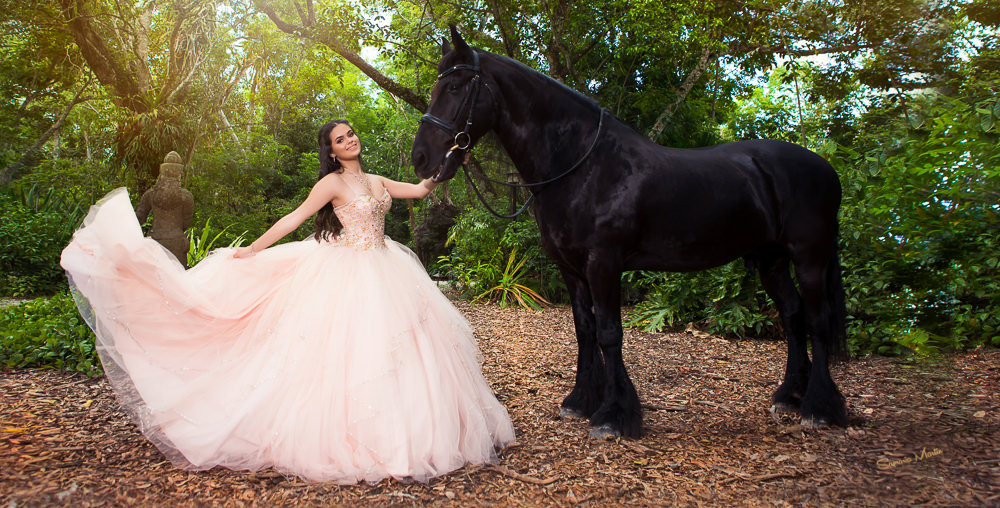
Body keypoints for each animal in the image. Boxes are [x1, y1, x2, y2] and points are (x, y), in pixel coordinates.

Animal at [410, 26, 848, 436]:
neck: (584, 165)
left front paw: (615, 415)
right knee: (792, 314)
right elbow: (584, 329)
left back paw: (820, 408)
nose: (421, 158)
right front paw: (581, 400)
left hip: (809, 256)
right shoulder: (571, 269)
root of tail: (826, 169)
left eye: (454, 87)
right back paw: (789, 395)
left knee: (817, 319)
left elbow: (609, 333)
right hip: (772, 260)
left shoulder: (604, 263)